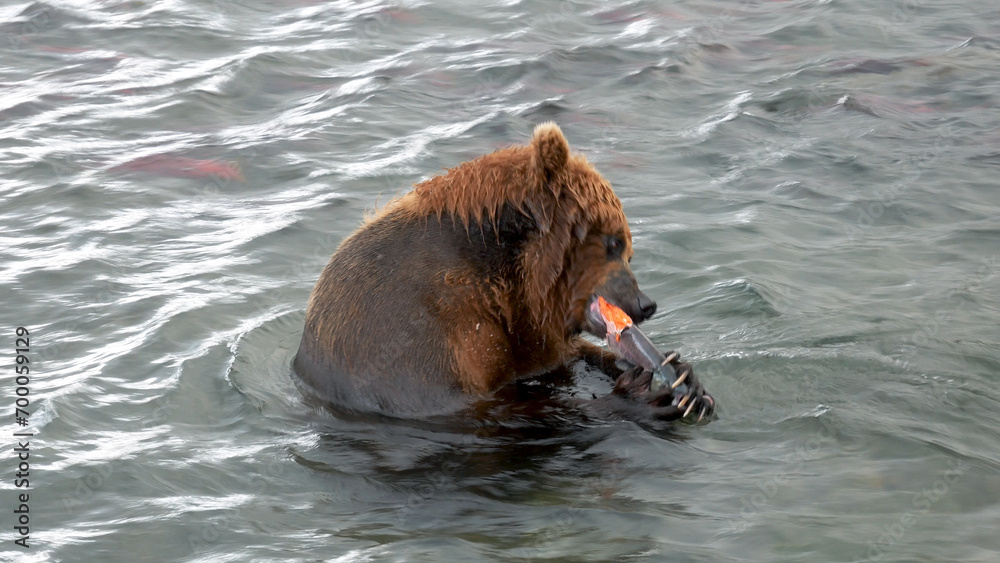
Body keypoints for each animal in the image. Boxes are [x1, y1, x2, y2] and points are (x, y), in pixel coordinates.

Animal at [293, 123, 712, 420]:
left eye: (629, 250)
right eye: (613, 242)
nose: (644, 304)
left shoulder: (526, 332)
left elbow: (559, 359)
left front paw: (682, 373)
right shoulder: (414, 338)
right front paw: (646, 394)